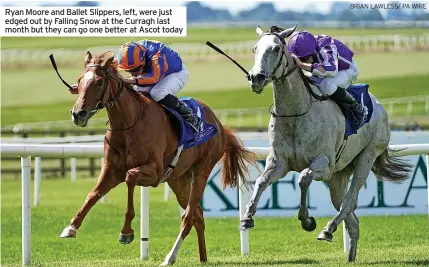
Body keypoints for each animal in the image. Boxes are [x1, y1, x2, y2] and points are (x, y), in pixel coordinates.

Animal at [56, 51, 258, 266]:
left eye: (99, 82)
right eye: (79, 81)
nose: (78, 114)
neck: (129, 123)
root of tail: (219, 125)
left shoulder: (154, 171)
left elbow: (130, 177)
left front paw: (126, 232)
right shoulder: (111, 169)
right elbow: (93, 194)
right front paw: (71, 227)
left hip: (201, 172)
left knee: (188, 218)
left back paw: (170, 257)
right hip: (178, 180)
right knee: (198, 214)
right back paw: (202, 257)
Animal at [241, 25, 412, 264]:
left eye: (276, 49)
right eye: (255, 48)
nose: (256, 78)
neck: (295, 113)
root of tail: (379, 105)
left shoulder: (324, 163)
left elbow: (303, 178)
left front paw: (307, 220)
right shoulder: (279, 163)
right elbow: (261, 181)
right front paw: (247, 217)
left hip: (366, 157)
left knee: (349, 202)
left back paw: (328, 229)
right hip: (338, 177)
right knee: (352, 219)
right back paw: (349, 256)